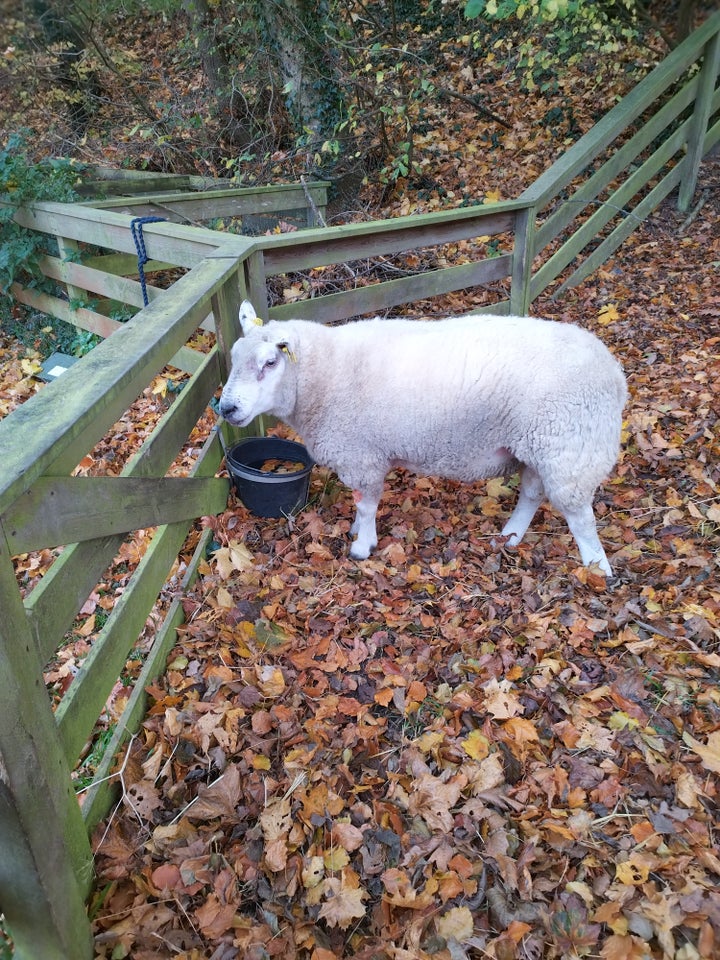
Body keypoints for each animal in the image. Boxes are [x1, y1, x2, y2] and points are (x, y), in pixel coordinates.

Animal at [218, 300, 624, 572]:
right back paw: (510, 536)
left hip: (570, 448)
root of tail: (614, 370)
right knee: (531, 495)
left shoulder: (362, 456)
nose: (226, 408)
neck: (324, 377)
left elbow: (366, 505)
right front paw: (356, 532)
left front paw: (362, 546)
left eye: (270, 362)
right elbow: (360, 503)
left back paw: (597, 570)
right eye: (233, 358)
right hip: (537, 446)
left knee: (580, 517)